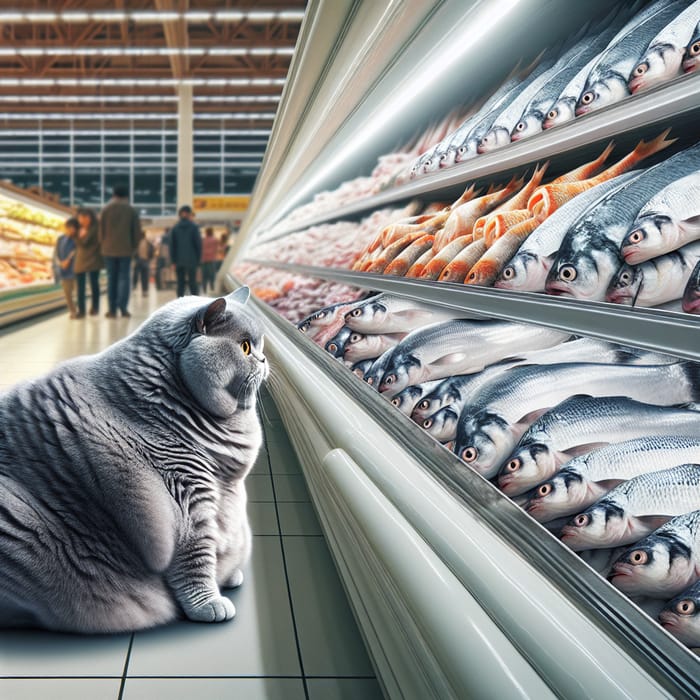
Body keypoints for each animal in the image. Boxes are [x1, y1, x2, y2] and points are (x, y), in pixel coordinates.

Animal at [0, 286, 268, 636]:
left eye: (260, 346)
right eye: (245, 346)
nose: (264, 359)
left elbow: (224, 540)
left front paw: (229, 575)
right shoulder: (187, 502)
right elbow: (196, 561)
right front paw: (208, 603)